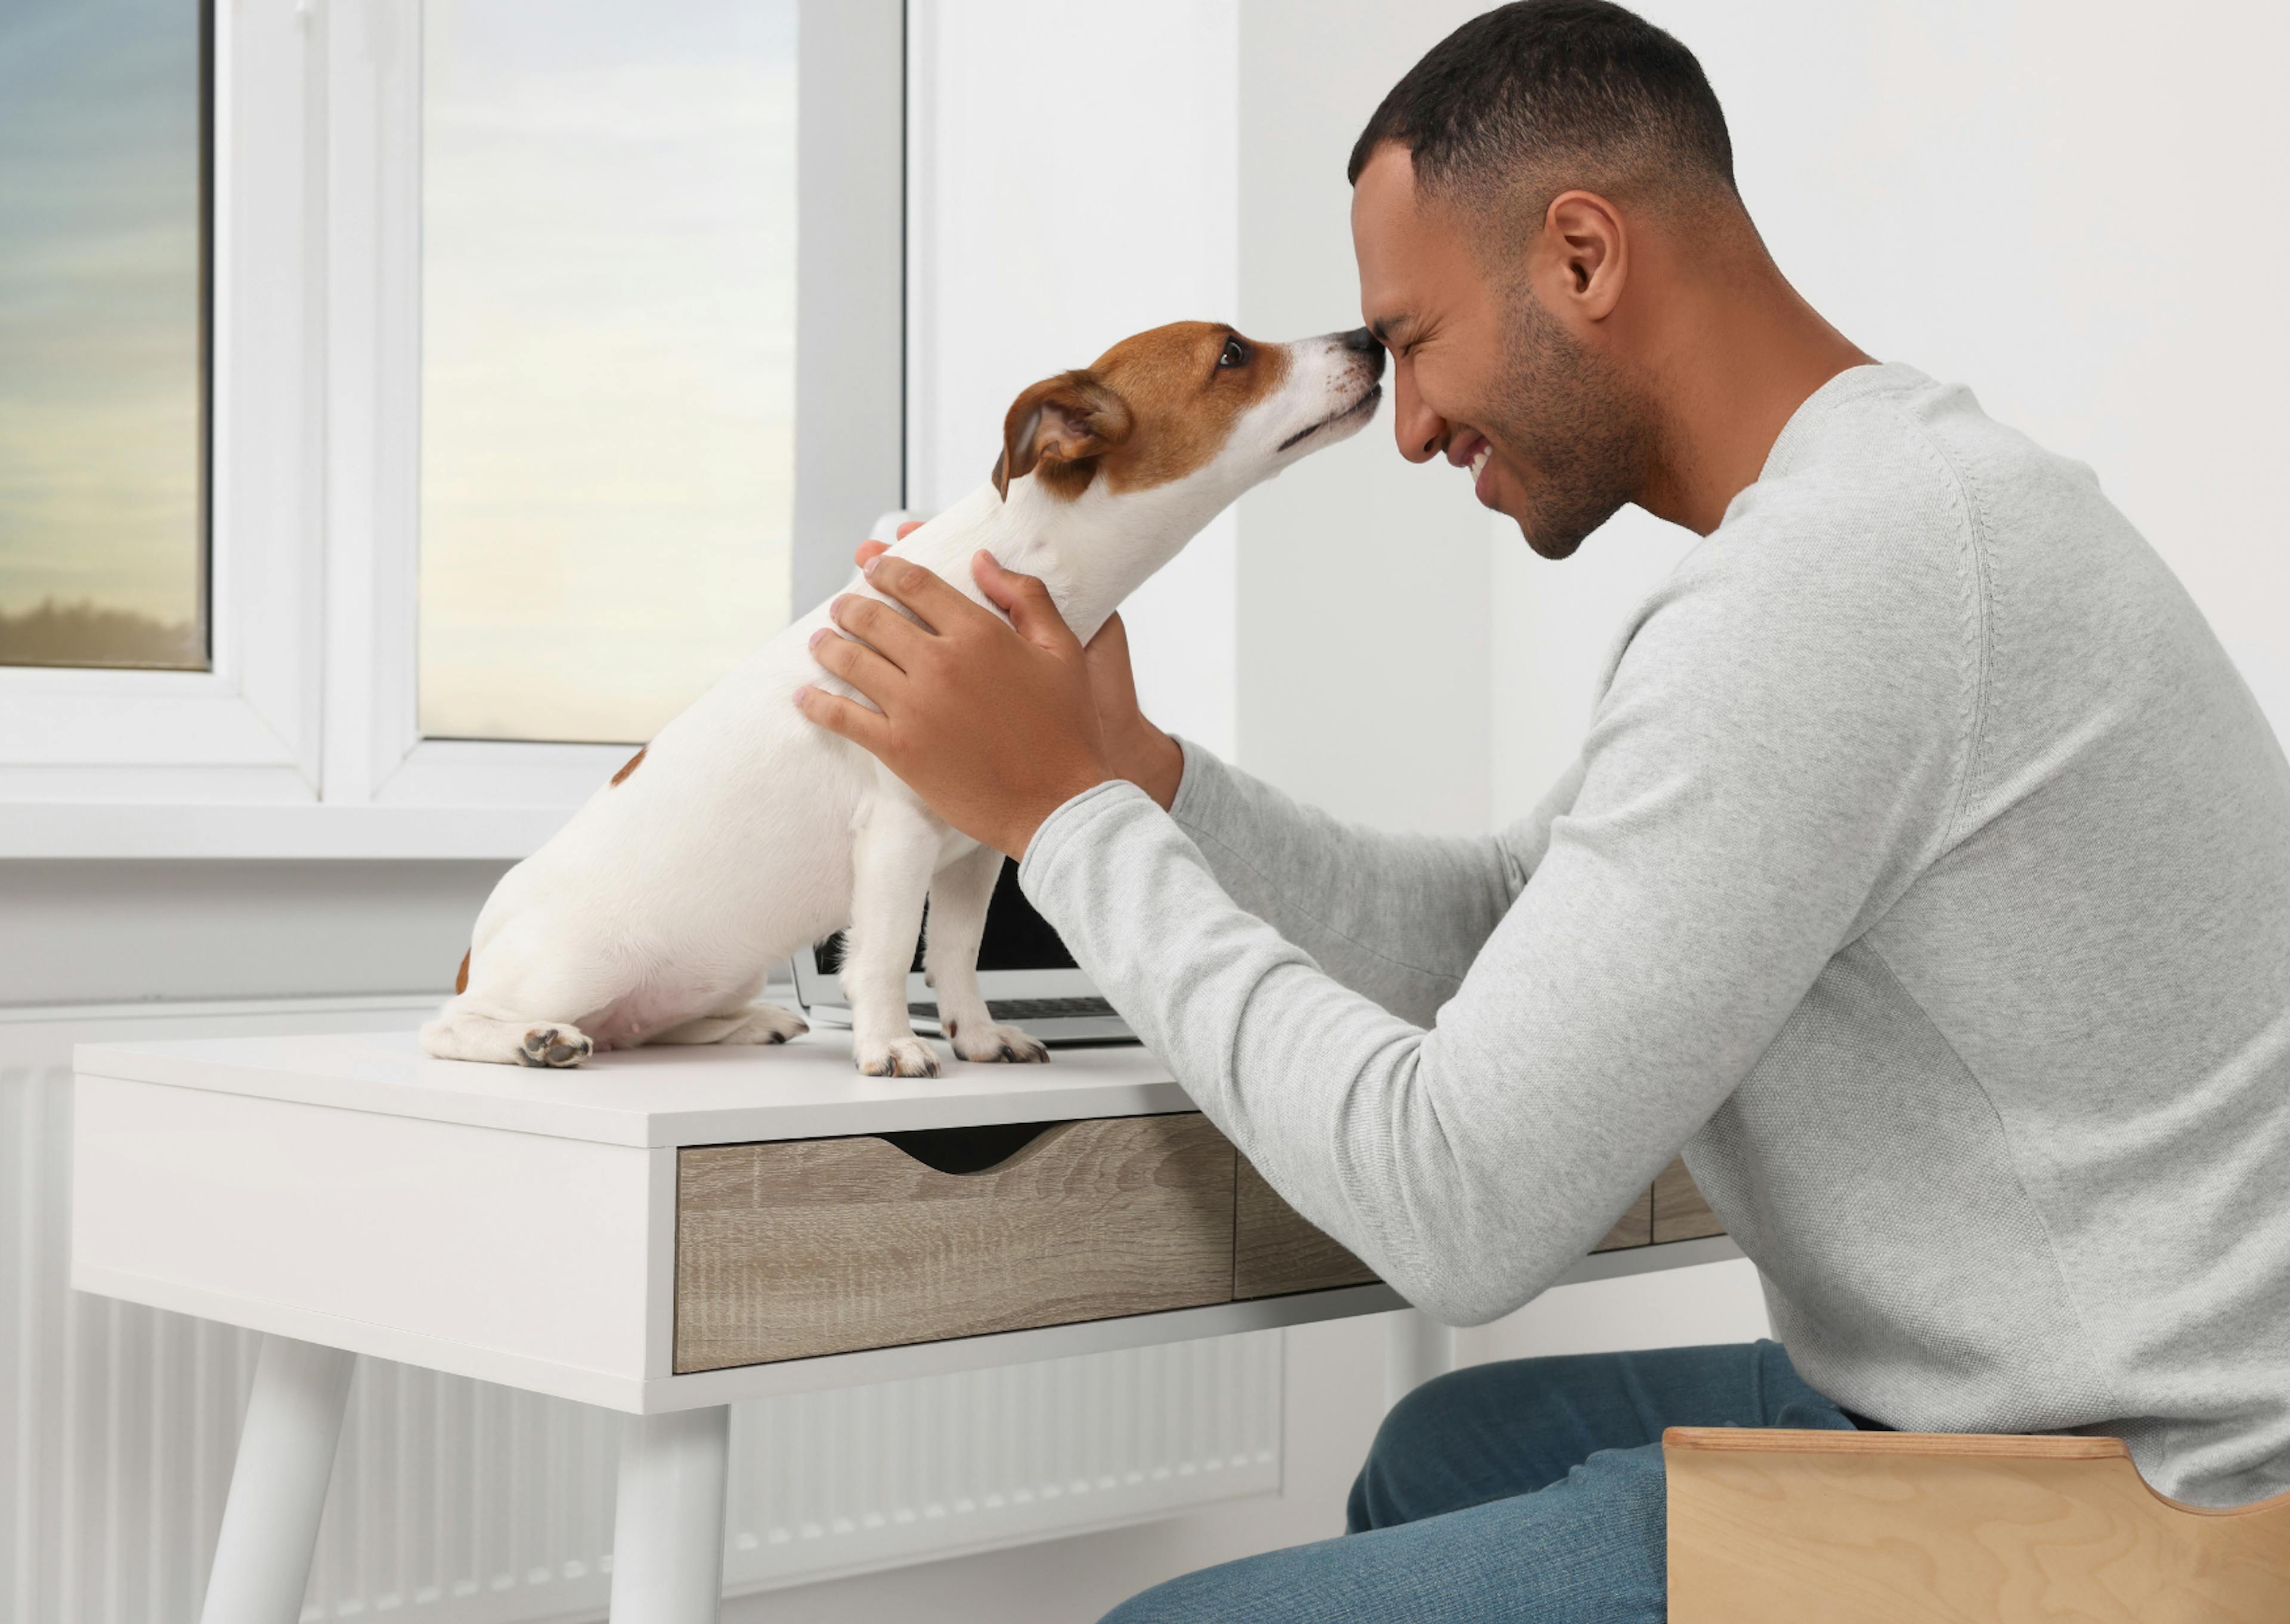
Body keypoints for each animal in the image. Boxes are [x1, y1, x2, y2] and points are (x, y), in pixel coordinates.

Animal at [421, 320, 1383, 1072]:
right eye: (1232, 354)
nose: (1371, 337)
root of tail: (474, 953)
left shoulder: (974, 854)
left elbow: (953, 954)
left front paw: (979, 1037)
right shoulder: (897, 837)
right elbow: (884, 956)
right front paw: (890, 1045)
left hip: (706, 970)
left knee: (653, 1026)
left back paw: (754, 1022)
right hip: (578, 964)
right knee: (455, 1027)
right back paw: (535, 1040)